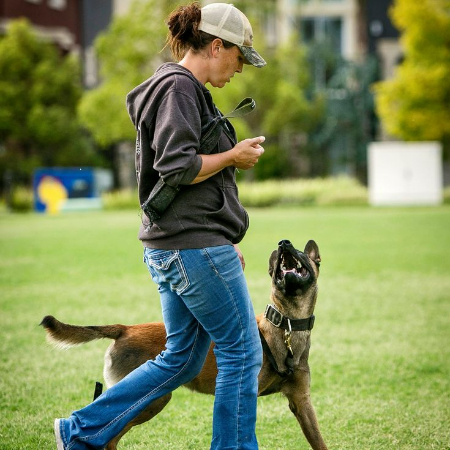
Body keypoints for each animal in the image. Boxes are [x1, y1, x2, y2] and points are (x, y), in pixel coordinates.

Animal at [41, 239, 326, 450]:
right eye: (279, 261)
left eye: (301, 252)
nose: (284, 244)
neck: (286, 325)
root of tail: (125, 329)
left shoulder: (301, 401)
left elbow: (320, 442)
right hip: (153, 401)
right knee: (109, 435)